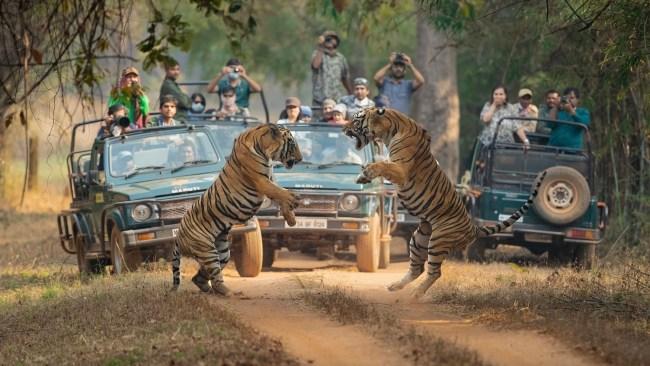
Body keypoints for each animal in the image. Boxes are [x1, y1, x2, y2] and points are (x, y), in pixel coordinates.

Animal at [172, 124, 304, 296]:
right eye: (292, 144)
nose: (301, 159)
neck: (263, 146)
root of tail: (178, 237)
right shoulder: (262, 181)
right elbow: (281, 192)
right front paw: (295, 199)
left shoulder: (269, 179)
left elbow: (280, 197)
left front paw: (291, 218)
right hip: (208, 251)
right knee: (215, 277)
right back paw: (229, 293)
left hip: (222, 252)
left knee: (199, 277)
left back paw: (210, 290)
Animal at [342, 108, 544, 298]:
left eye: (356, 119)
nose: (344, 129)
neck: (390, 130)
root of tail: (472, 227)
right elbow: (380, 163)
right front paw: (362, 176)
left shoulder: (401, 170)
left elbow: (382, 165)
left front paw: (366, 172)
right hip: (419, 239)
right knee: (418, 268)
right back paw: (395, 286)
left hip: (438, 241)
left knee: (435, 272)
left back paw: (415, 295)